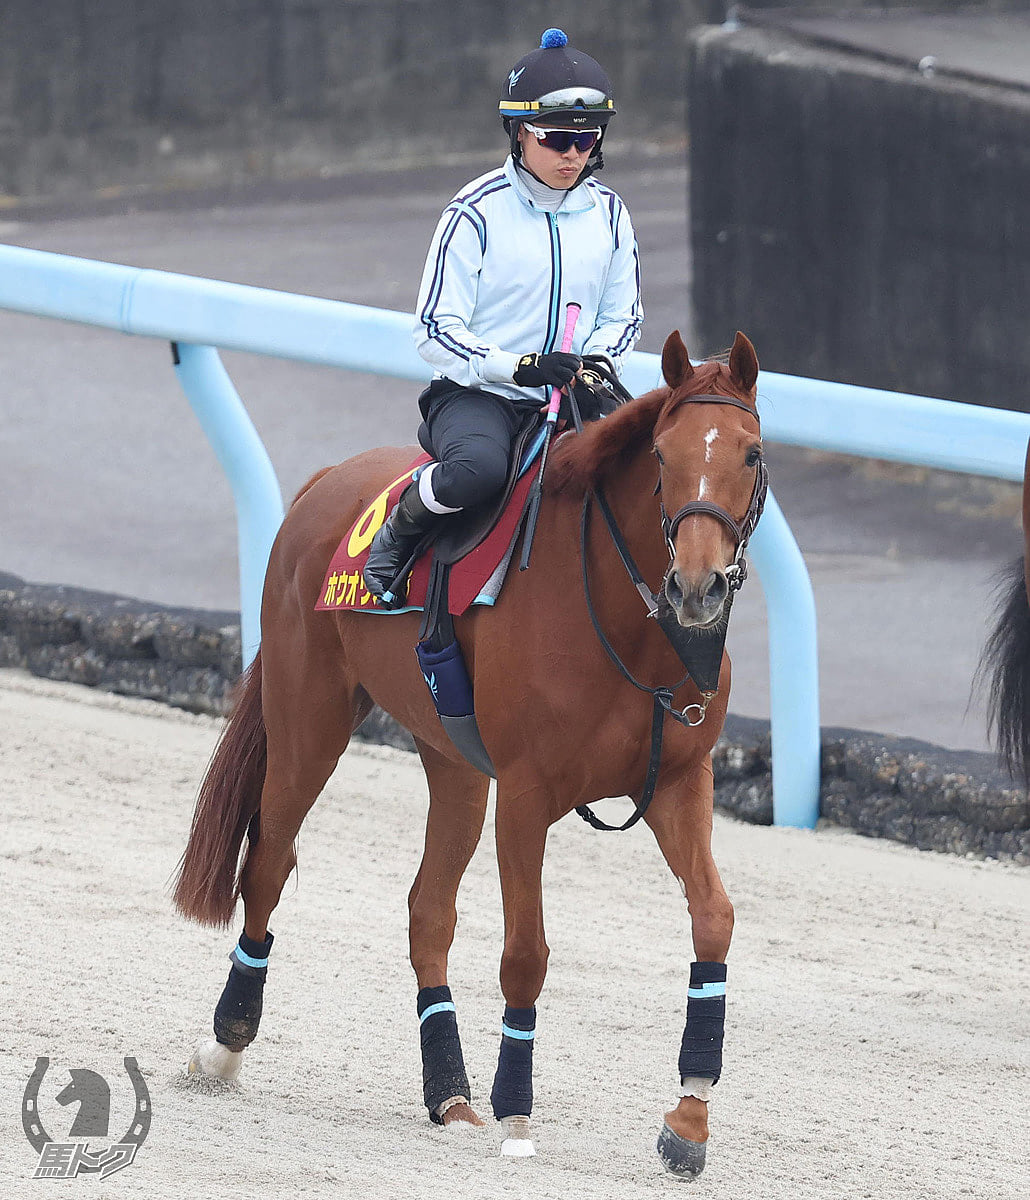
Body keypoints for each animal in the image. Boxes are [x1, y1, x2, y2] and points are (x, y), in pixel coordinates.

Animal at [170, 328, 763, 1171]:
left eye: (749, 453)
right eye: (660, 454)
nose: (696, 586)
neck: (627, 626)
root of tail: (325, 481)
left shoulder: (680, 781)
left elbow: (714, 918)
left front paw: (688, 1118)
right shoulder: (525, 795)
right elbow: (526, 954)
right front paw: (517, 1108)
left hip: (451, 763)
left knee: (428, 911)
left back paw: (448, 1091)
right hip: (307, 724)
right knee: (268, 866)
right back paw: (224, 1047)